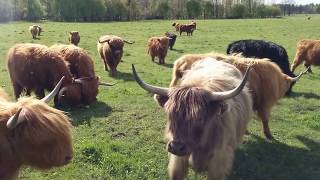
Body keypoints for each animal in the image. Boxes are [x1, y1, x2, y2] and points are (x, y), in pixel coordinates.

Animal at [169, 52, 308, 139]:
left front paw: (246, 131)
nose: (289, 93)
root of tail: (181, 61)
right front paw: (268, 135)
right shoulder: (264, 104)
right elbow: (265, 120)